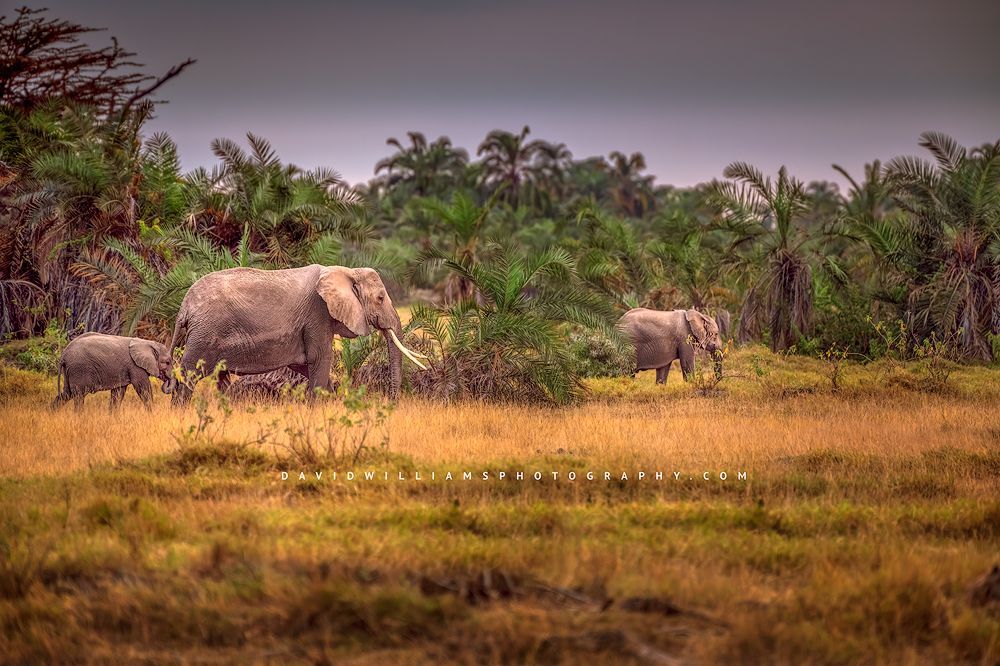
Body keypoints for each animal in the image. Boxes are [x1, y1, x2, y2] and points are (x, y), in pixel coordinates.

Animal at [168, 265, 427, 404]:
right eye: (381, 298)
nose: (391, 401)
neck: (345, 270)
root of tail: (184, 307)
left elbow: (306, 366)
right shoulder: (317, 315)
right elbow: (320, 360)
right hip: (205, 334)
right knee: (189, 375)